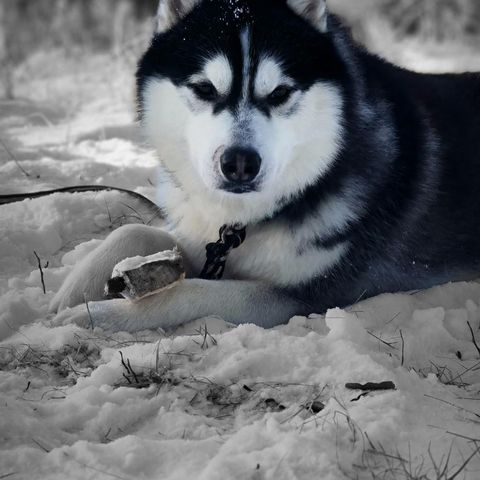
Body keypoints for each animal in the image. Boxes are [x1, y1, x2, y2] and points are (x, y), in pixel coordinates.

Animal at [50, 0, 480, 330]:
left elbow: (188, 291)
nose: (240, 163)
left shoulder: (308, 295)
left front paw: (98, 314)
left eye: (280, 93)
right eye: (204, 88)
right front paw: (73, 289)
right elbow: (137, 231)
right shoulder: (206, 240)